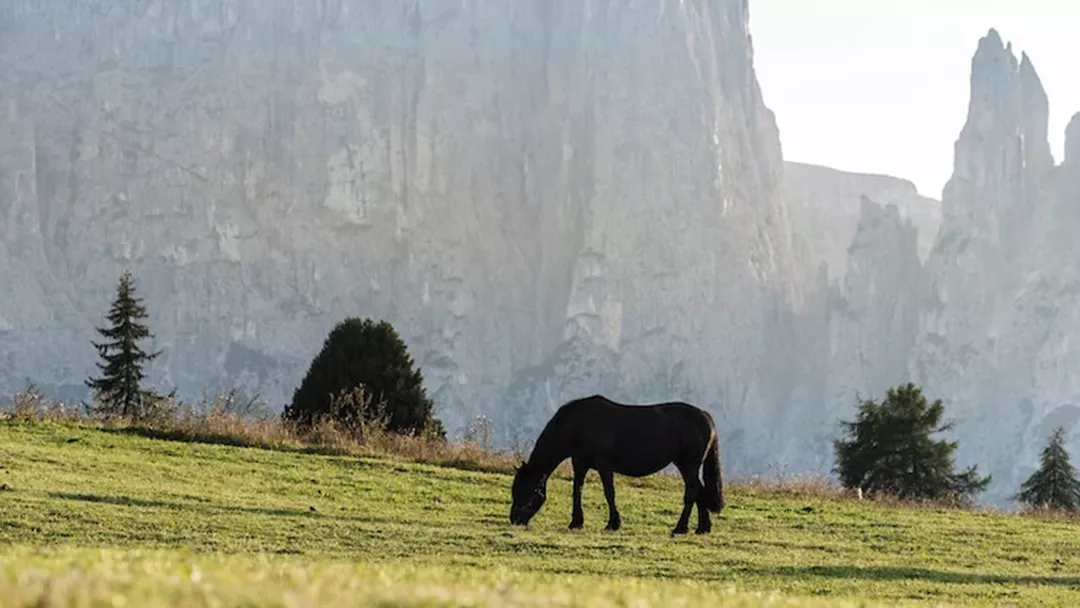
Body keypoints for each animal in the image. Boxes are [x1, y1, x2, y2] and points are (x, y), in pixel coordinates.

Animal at [507, 393, 725, 535]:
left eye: (528, 490)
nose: (514, 520)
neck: (579, 423)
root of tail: (707, 418)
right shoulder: (580, 462)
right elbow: (577, 489)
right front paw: (576, 522)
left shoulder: (604, 463)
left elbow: (609, 492)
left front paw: (613, 523)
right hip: (684, 464)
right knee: (700, 490)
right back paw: (703, 527)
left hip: (689, 464)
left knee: (692, 491)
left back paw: (680, 528)